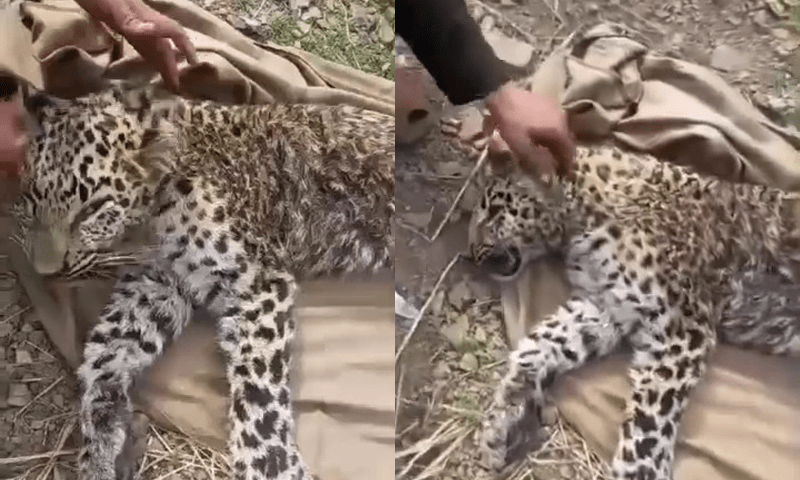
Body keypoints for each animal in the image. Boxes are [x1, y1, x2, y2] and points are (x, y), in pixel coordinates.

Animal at [8, 82, 394, 480]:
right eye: (32, 199)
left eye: (91, 210)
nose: (46, 272)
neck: (149, 222)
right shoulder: (156, 284)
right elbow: (105, 351)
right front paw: (100, 444)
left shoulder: (255, 281)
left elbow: (258, 387)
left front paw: (271, 464)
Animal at [455, 134, 800, 479]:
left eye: (492, 211)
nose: (471, 253)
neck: (581, 221)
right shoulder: (606, 306)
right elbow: (542, 342)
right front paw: (502, 416)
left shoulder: (682, 329)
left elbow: (651, 422)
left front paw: (638, 471)